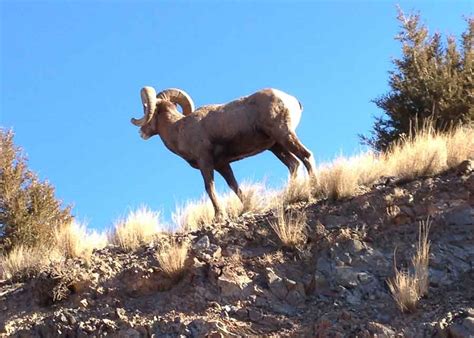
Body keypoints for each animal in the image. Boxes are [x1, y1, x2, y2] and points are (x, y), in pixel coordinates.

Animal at [130, 87, 314, 219]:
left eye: (146, 109)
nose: (141, 132)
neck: (179, 129)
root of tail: (292, 100)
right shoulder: (222, 165)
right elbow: (235, 187)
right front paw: (245, 208)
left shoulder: (205, 162)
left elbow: (209, 187)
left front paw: (218, 216)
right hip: (276, 146)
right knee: (293, 164)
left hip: (284, 135)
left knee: (306, 156)